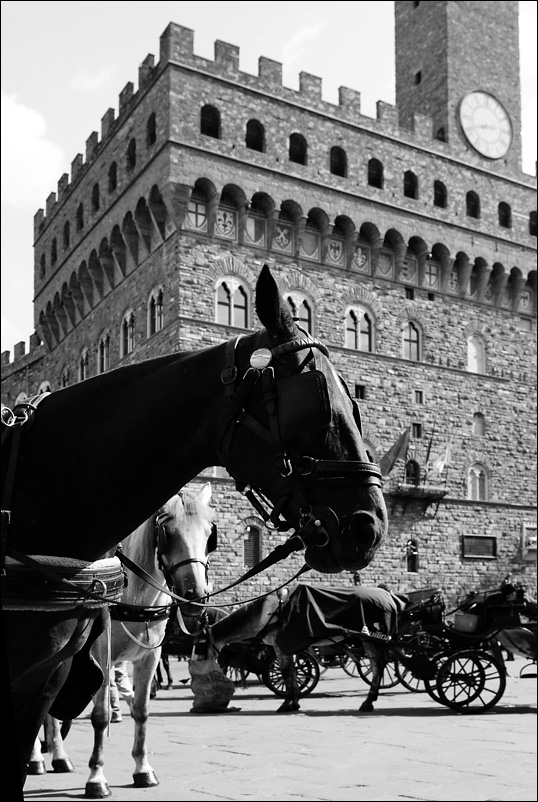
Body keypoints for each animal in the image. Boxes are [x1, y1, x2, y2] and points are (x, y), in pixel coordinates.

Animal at [28, 482, 216, 792]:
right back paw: (35, 759)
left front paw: (143, 769)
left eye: (209, 534)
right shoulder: (100, 656)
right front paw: (96, 777)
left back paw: (59, 756)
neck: (133, 594)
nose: (196, 596)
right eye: (167, 533)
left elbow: (141, 711)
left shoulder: (150, 657)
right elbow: (100, 716)